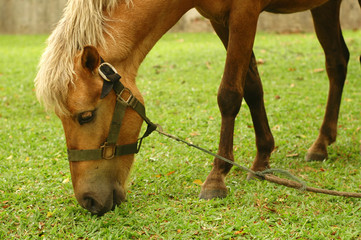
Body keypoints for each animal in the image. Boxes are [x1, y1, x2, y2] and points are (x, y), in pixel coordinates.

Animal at [34, 0, 358, 215]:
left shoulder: (244, 14)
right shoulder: (220, 19)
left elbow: (229, 94)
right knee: (337, 61)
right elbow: (252, 86)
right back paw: (322, 143)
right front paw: (262, 161)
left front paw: (216, 178)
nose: (88, 200)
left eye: (86, 116)